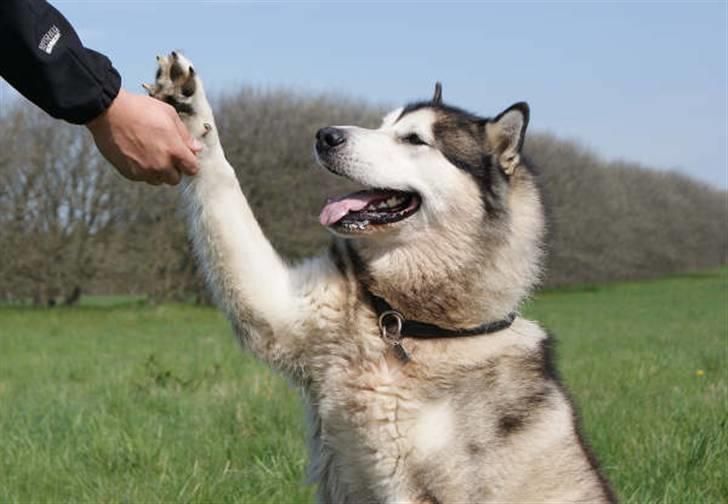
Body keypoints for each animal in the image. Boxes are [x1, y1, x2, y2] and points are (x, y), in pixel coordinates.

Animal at [146, 52, 616, 504]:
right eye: (382, 124)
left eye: (413, 139)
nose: (325, 135)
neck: (404, 322)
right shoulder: (276, 307)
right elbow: (222, 180)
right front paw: (187, 105)